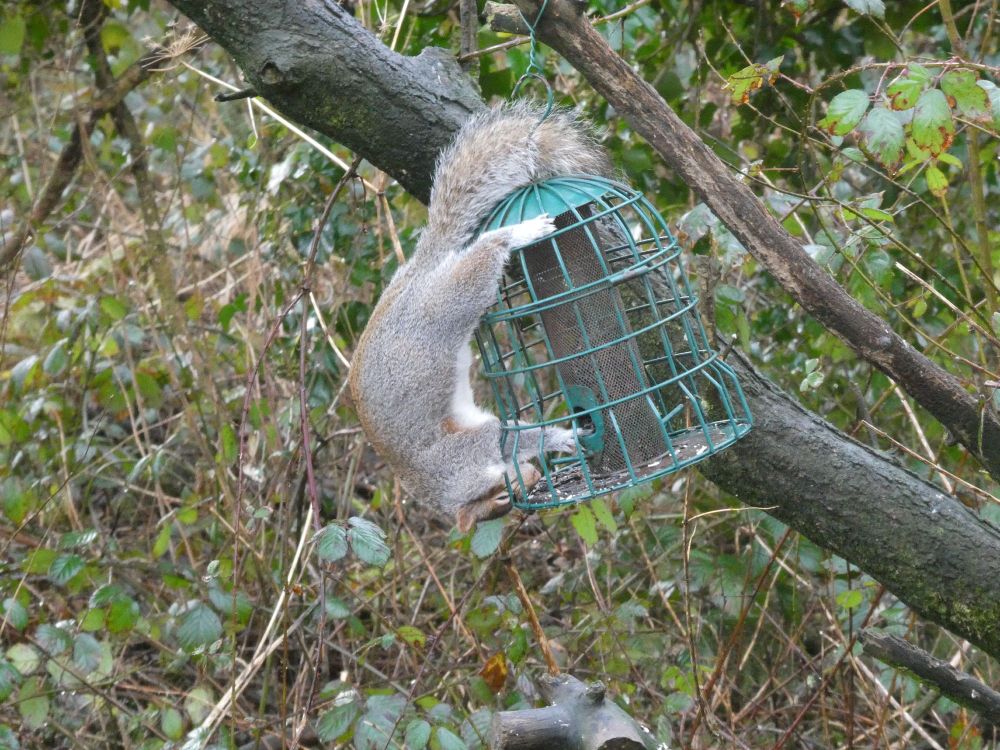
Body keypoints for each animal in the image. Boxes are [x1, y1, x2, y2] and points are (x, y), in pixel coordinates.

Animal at [349, 102, 612, 532]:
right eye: (504, 500)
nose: (532, 480)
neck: (445, 482)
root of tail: (417, 273)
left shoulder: (466, 449)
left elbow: (508, 436)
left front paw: (561, 439)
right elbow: (514, 434)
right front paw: (560, 441)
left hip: (451, 300)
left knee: (487, 251)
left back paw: (520, 233)